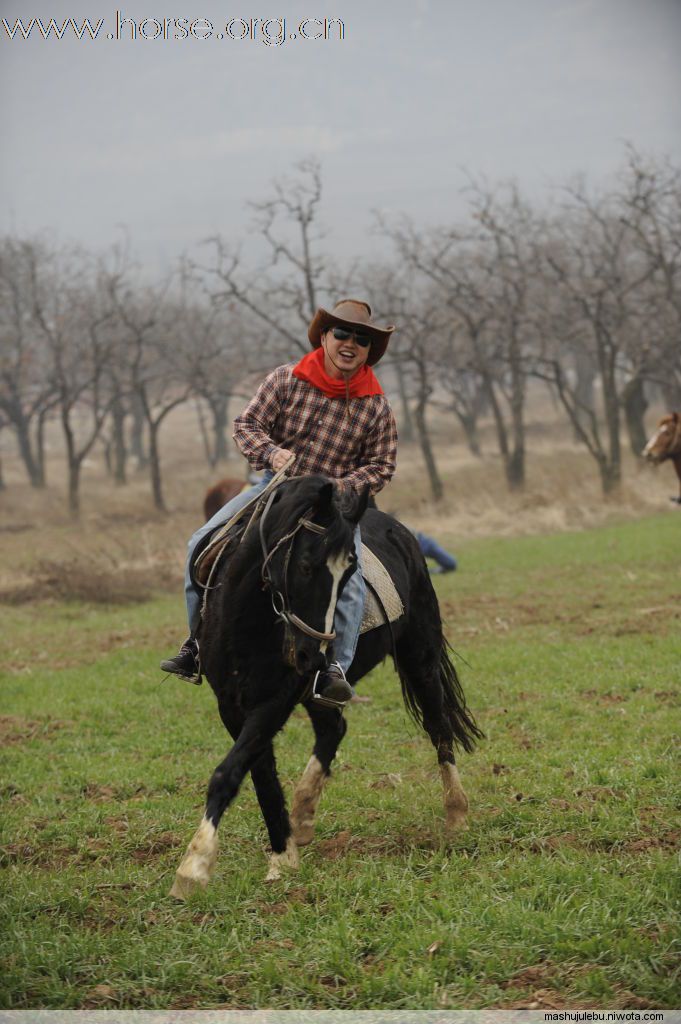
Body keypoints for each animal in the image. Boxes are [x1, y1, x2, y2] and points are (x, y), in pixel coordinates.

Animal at [169, 471, 481, 897]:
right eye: (303, 566)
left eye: (349, 574)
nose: (313, 655)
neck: (248, 620)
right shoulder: (232, 705)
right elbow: (258, 773)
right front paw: (282, 854)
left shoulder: (274, 700)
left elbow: (229, 772)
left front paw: (195, 865)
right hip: (322, 694)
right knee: (334, 729)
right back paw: (302, 813)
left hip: (421, 657)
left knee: (438, 727)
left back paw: (456, 814)